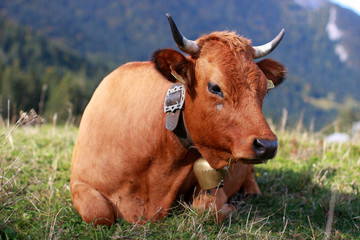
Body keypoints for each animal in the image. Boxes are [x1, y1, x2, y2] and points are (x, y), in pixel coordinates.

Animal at [69, 14, 284, 226]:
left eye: (265, 89)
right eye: (215, 87)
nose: (268, 145)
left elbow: (208, 207)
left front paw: (230, 208)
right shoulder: (79, 182)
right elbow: (99, 213)